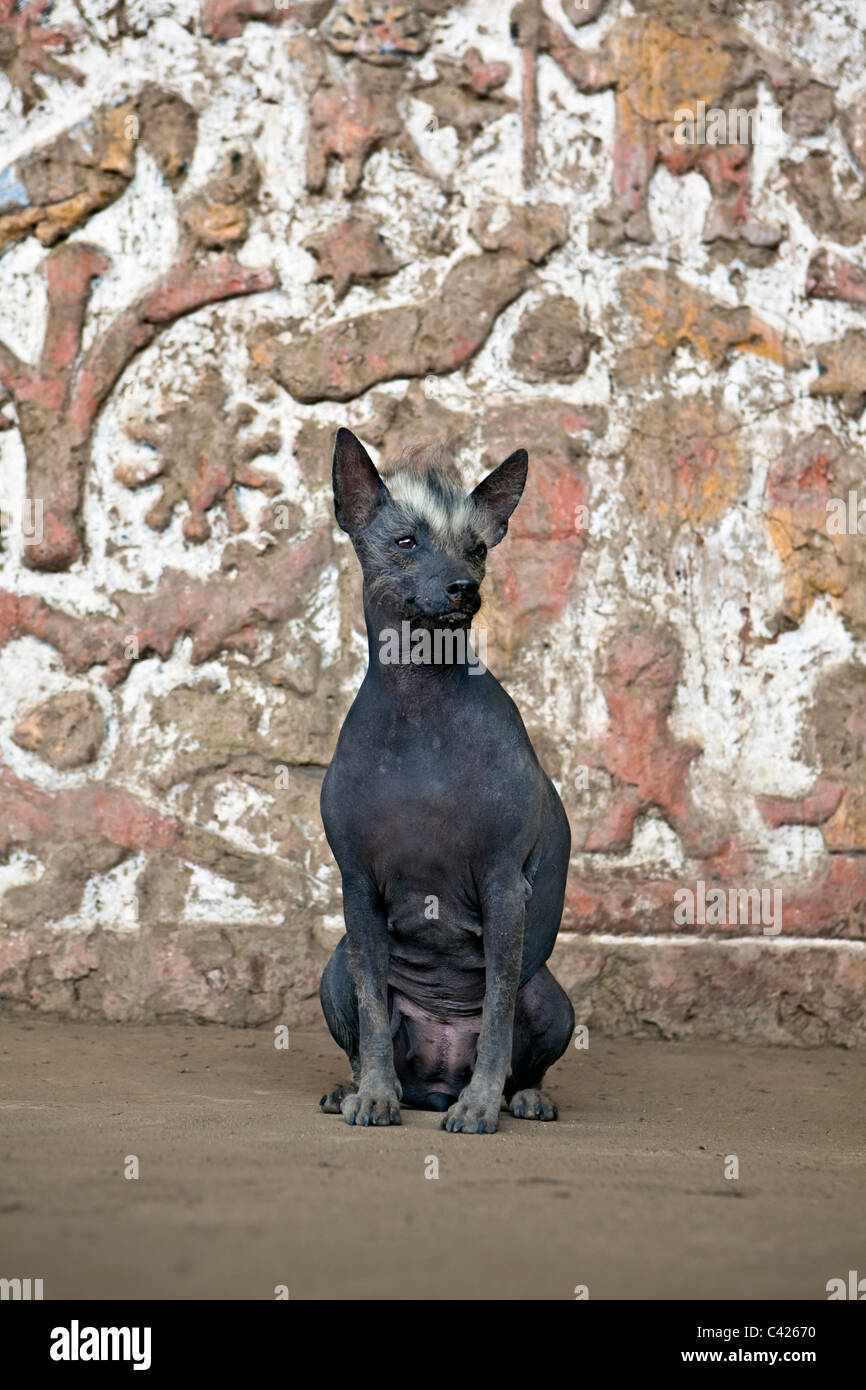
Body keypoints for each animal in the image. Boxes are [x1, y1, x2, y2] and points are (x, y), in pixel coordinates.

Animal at [318, 428, 575, 1134]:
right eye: (406, 542)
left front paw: (481, 1104)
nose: (463, 587)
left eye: (478, 548)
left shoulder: (504, 888)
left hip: (554, 997)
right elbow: (373, 1012)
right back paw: (352, 1089)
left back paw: (519, 1098)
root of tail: (433, 1083)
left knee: (520, 1047)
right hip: (332, 968)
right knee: (364, 1033)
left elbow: (496, 1013)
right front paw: (374, 1096)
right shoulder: (357, 891)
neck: (420, 709)